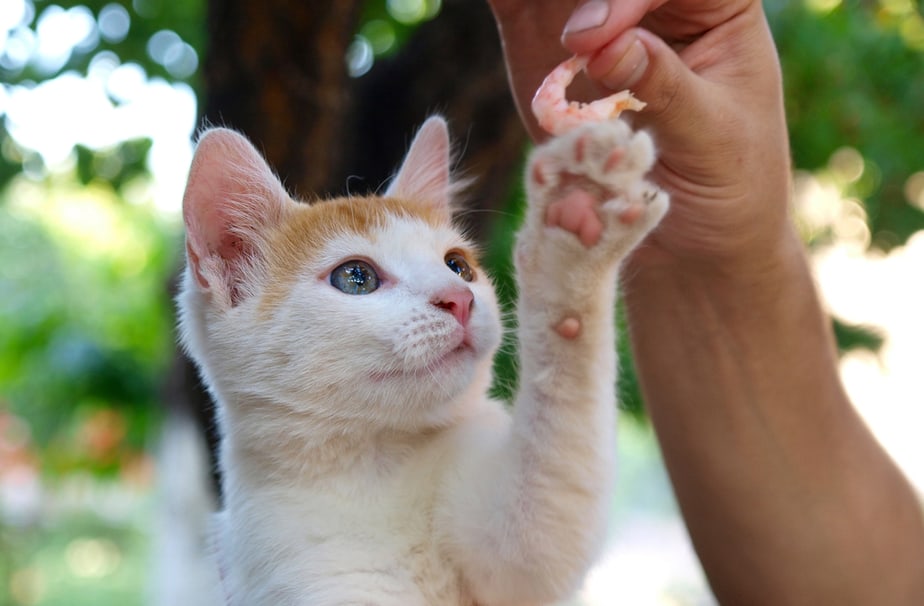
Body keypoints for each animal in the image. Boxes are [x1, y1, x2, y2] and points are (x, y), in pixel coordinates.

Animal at [179, 115, 672, 606]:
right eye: (356, 277)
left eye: (458, 266)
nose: (459, 299)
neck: (377, 465)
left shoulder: (512, 557)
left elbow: (543, 522)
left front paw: (577, 224)